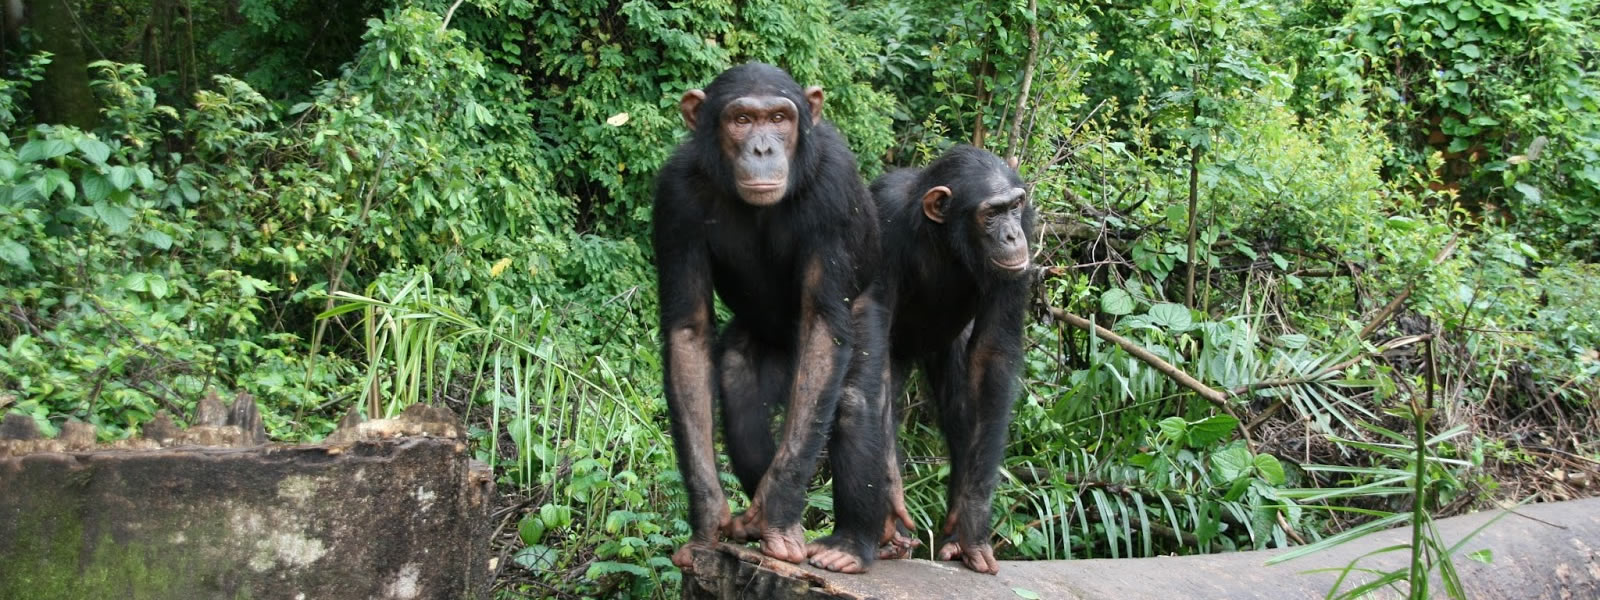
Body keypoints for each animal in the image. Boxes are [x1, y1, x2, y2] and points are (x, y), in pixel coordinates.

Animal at [656, 63, 896, 576]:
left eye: (780, 118)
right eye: (742, 119)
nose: (762, 148)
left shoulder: (835, 186)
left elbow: (824, 326)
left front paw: (779, 514)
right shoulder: (673, 196)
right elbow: (688, 333)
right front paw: (708, 522)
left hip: (871, 312)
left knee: (852, 400)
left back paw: (852, 545)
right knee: (740, 398)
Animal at [870, 143, 1030, 576]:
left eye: (1015, 207)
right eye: (991, 214)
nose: (1013, 234)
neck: (943, 238)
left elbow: (991, 355)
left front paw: (972, 521)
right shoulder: (881, 223)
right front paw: (889, 498)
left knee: (962, 410)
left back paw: (955, 540)